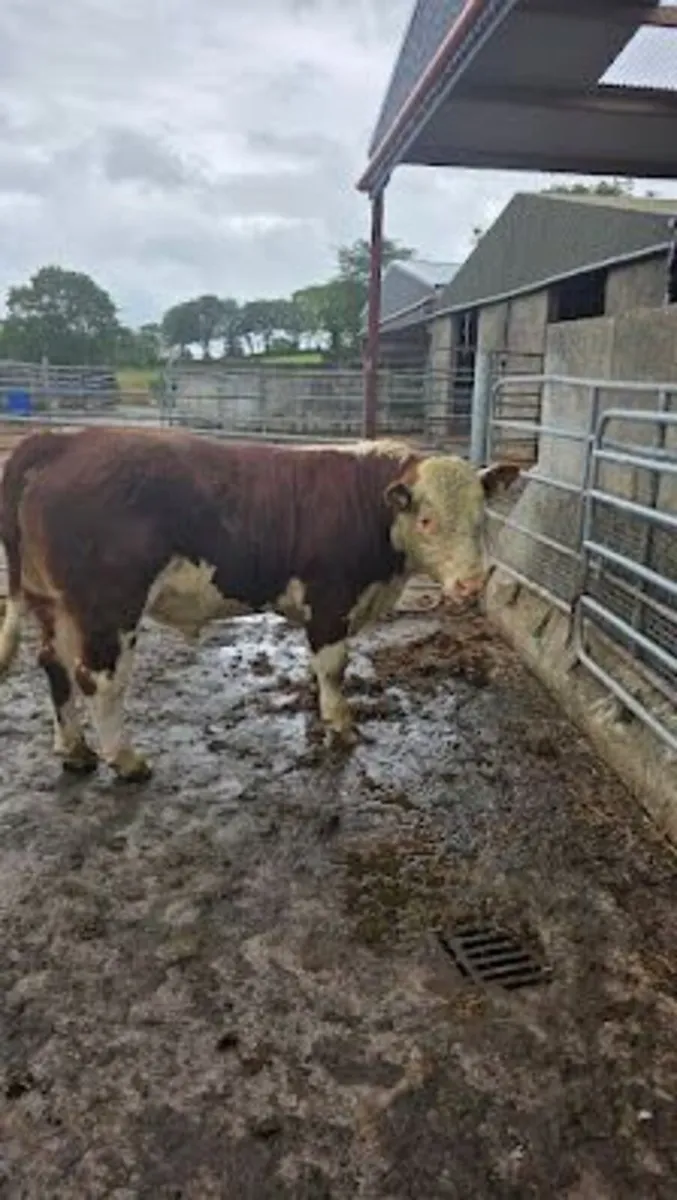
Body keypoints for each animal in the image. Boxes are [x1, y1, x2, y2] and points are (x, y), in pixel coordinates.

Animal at [0, 427, 518, 781]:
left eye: (482, 518)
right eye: (427, 520)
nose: (472, 583)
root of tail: (66, 439)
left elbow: (318, 667)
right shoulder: (330, 598)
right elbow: (334, 667)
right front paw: (341, 726)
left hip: (53, 602)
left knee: (53, 665)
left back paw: (74, 750)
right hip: (110, 607)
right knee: (99, 680)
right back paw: (125, 761)